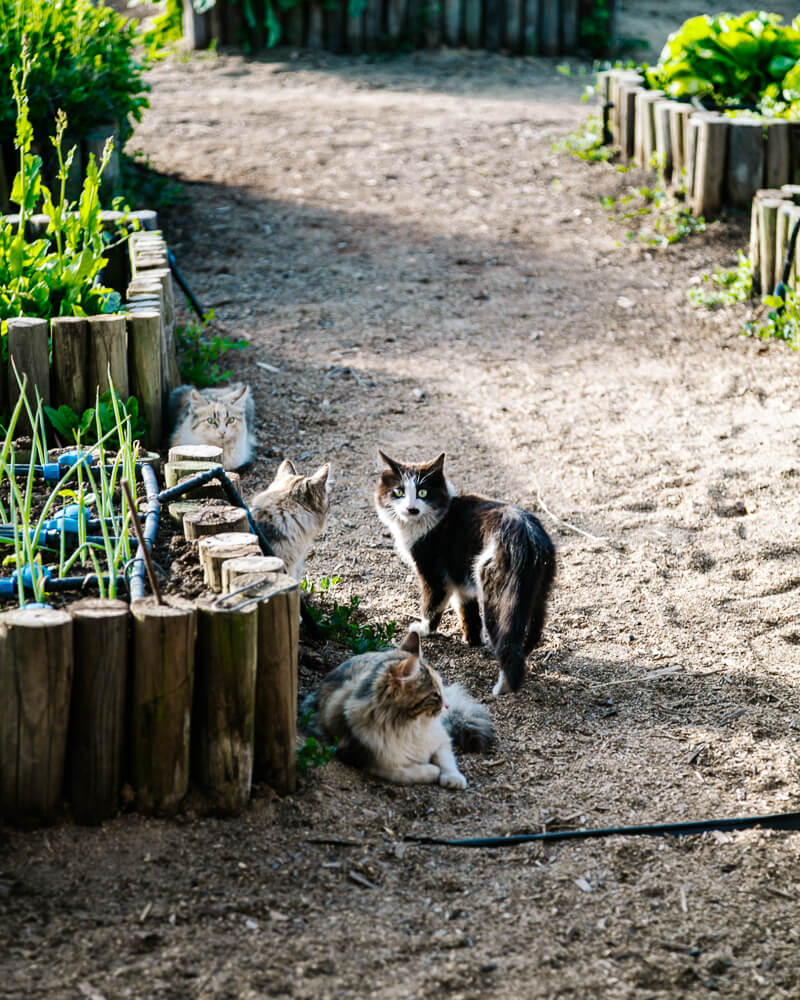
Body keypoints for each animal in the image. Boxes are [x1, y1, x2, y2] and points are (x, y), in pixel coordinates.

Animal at [300, 632, 494, 788]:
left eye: (441, 687)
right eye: (435, 695)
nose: (447, 706)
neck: (411, 725)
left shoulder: (440, 740)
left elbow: (447, 760)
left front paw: (453, 779)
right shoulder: (372, 761)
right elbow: (407, 773)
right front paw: (432, 771)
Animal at [376, 452, 556, 696]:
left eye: (423, 493)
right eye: (399, 492)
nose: (411, 508)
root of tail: (527, 536)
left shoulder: (433, 573)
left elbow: (432, 605)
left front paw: (424, 630)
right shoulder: (461, 577)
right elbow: (466, 609)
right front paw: (472, 639)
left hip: (497, 592)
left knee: (507, 641)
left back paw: (503, 687)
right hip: (539, 592)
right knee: (531, 634)